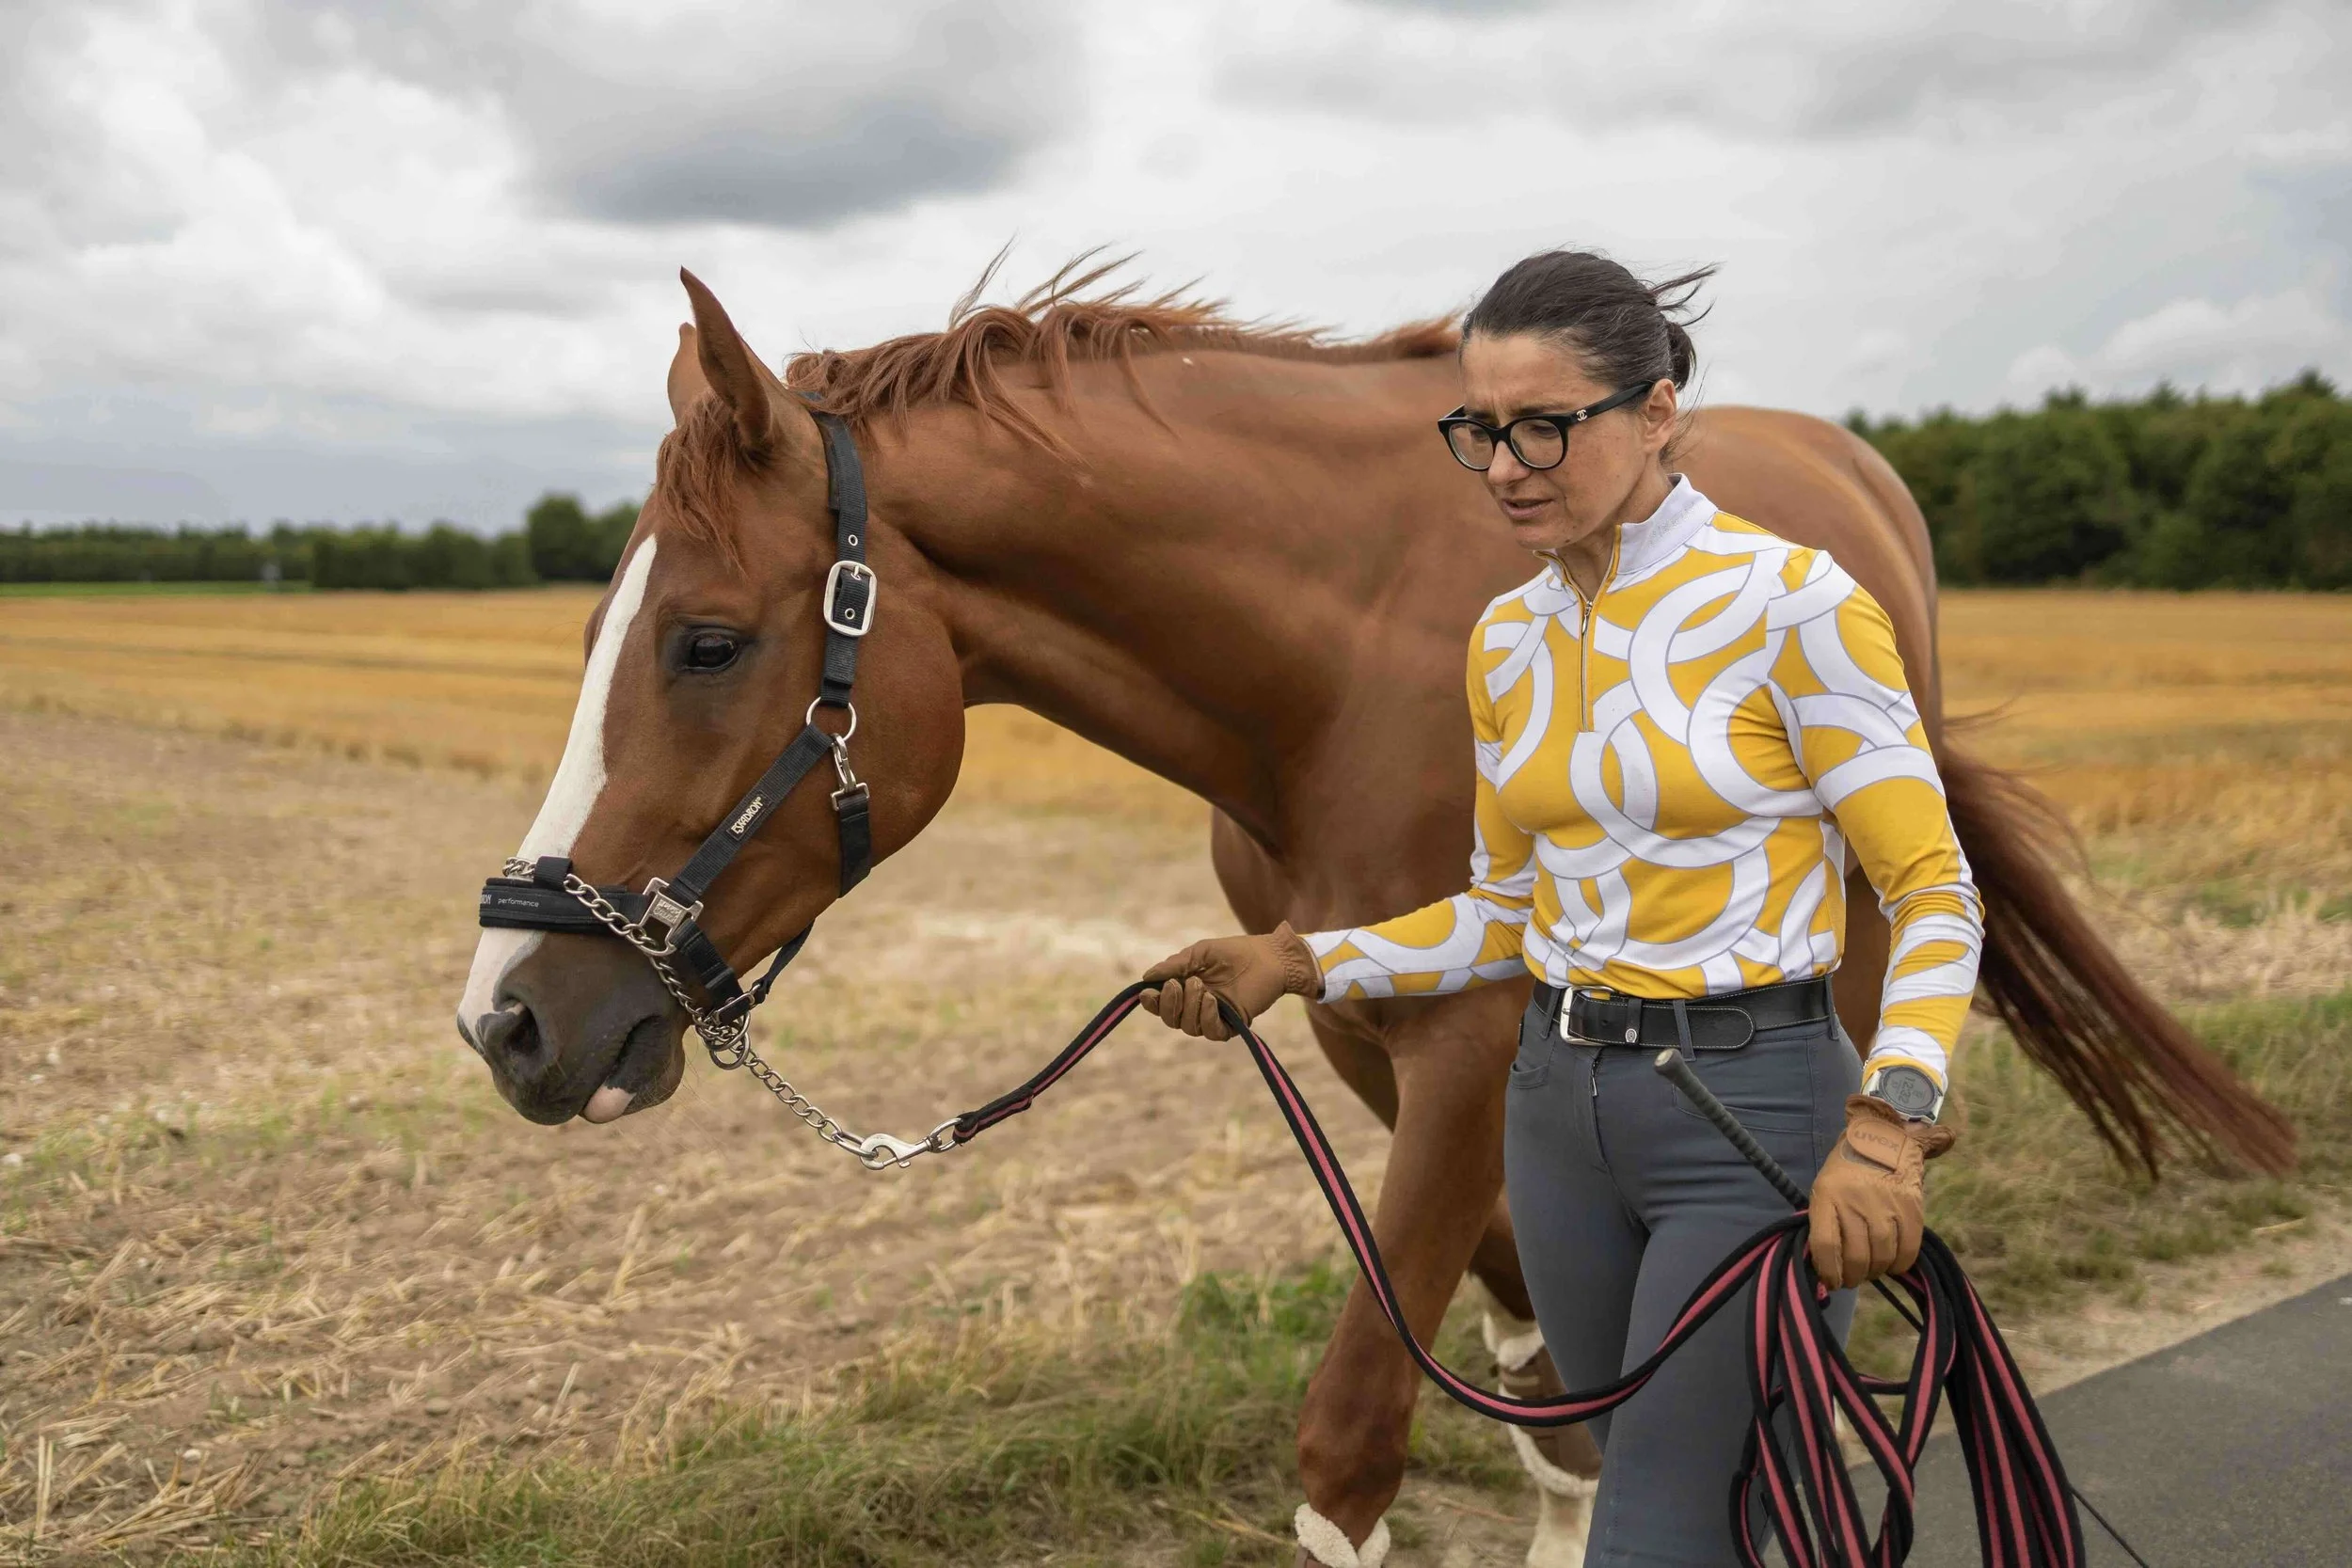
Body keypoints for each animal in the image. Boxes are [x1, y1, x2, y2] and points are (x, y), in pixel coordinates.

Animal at [456, 263, 2292, 1567]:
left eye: (704, 641)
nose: (509, 1018)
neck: (1339, 666)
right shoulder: (1359, 1037)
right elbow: (1544, 1362)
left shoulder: (1476, 1046)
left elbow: (1352, 1452)